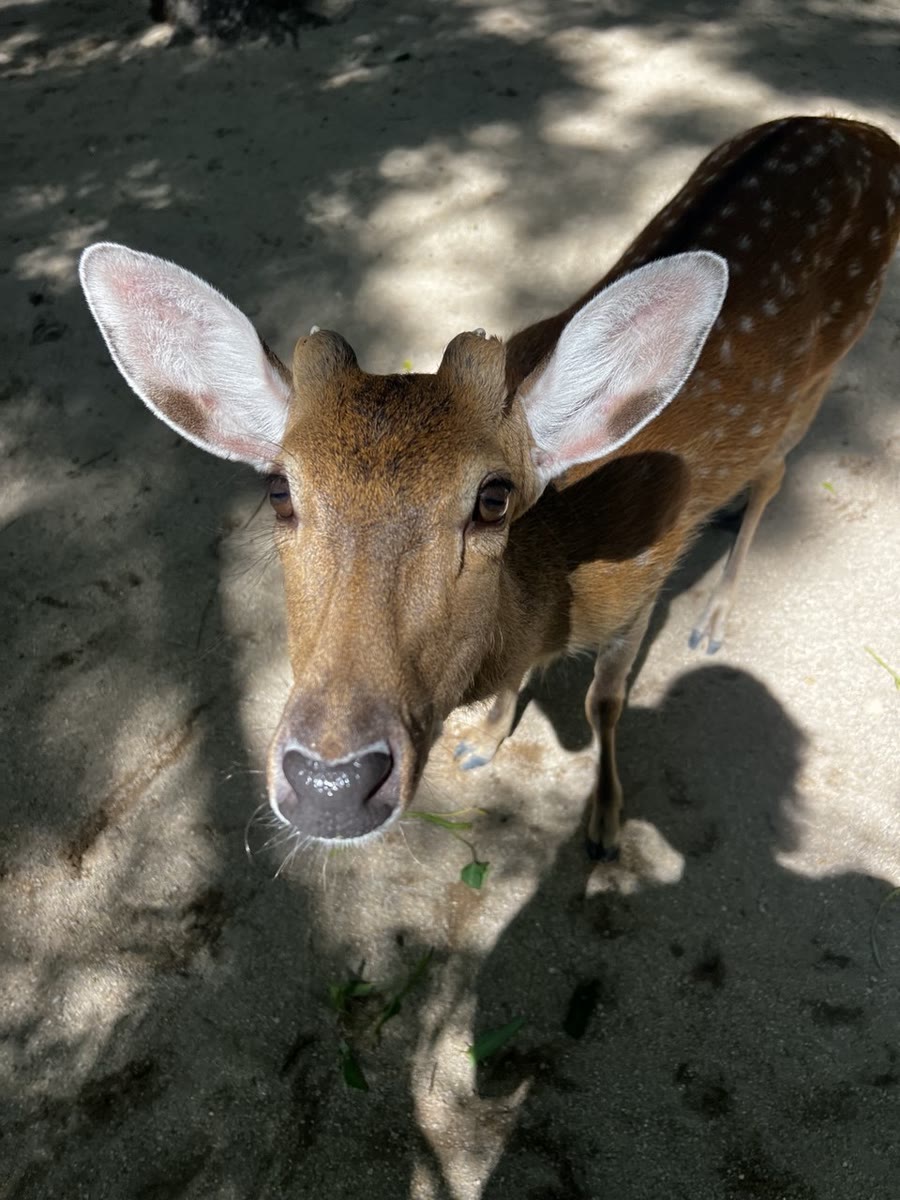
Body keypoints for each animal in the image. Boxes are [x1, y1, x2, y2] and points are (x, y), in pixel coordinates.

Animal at [80, 116, 900, 862]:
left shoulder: (644, 581)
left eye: (493, 498)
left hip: (817, 383)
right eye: (281, 490)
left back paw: (716, 617)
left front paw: (604, 822)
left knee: (775, 475)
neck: (558, 583)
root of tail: (865, 132)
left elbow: (606, 700)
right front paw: (481, 741)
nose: (330, 783)